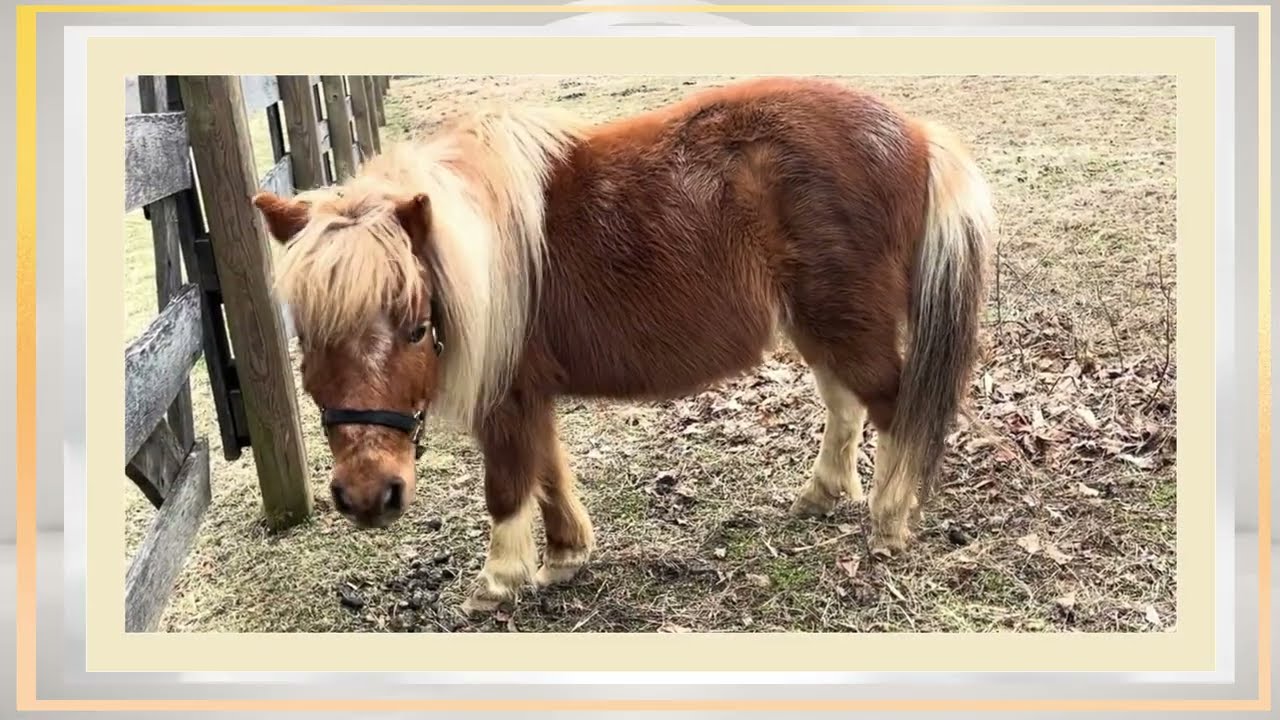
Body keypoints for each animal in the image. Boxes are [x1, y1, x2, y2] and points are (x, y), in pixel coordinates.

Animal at [252, 76, 996, 614]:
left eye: (415, 326)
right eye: (306, 335)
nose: (366, 498)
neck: (490, 251)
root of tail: (918, 136)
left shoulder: (507, 400)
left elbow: (509, 484)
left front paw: (497, 583)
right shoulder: (531, 397)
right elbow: (549, 472)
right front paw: (564, 556)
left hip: (848, 324)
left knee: (895, 410)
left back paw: (889, 522)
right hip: (820, 324)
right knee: (846, 404)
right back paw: (823, 493)